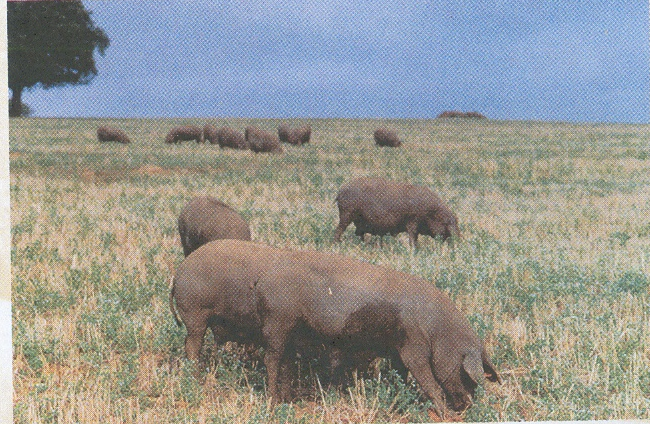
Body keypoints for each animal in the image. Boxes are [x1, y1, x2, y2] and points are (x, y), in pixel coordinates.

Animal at [170, 240, 498, 416]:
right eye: (466, 374)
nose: (468, 406)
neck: (437, 329)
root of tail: (179, 273)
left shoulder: (396, 350)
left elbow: (402, 374)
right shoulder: (412, 344)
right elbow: (426, 377)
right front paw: (443, 412)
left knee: (282, 360)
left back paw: (289, 398)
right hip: (242, 319)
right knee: (259, 356)